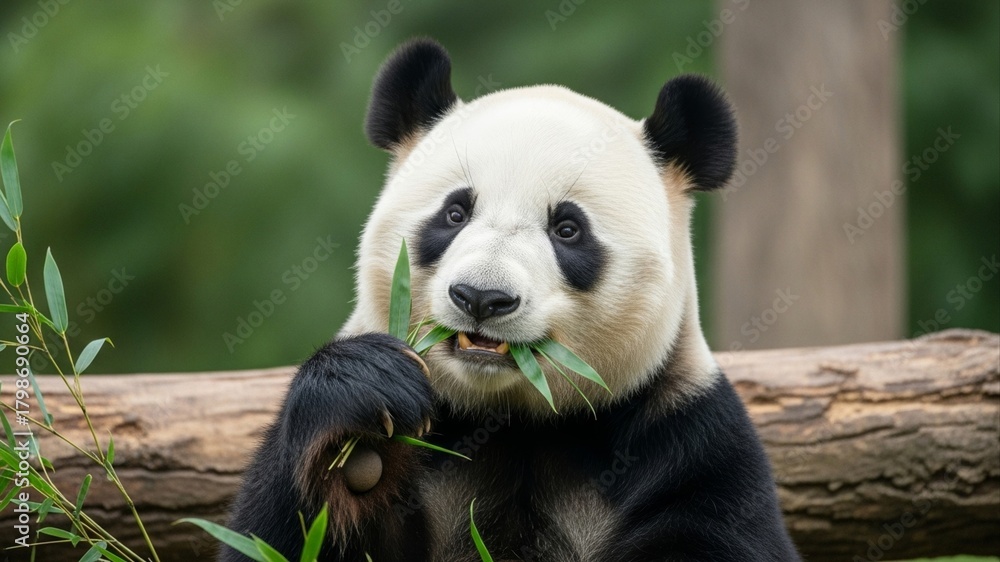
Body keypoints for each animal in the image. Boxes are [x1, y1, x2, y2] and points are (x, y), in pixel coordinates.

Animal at [223, 38, 800, 562]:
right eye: (455, 213)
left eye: (567, 229)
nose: (481, 297)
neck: (515, 422)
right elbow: (276, 534)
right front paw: (360, 441)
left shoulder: (689, 443)